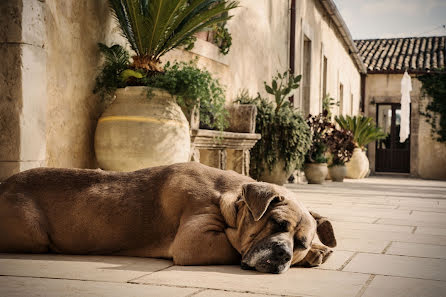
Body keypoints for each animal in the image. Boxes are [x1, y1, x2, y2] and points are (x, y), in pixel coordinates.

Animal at [0, 162, 334, 272]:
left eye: (301, 243)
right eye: (276, 223)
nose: (285, 254)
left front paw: (318, 251)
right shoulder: (195, 243)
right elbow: (232, 245)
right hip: (33, 235)